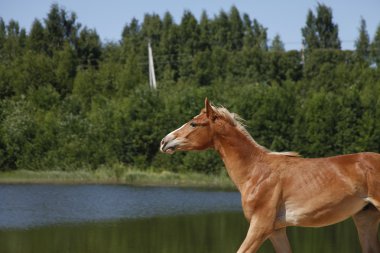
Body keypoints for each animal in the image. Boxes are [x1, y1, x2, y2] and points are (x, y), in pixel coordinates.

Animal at [160, 98, 380, 253]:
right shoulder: (277, 231)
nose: (164, 141)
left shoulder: (261, 226)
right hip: (365, 218)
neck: (256, 172)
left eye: (193, 124)